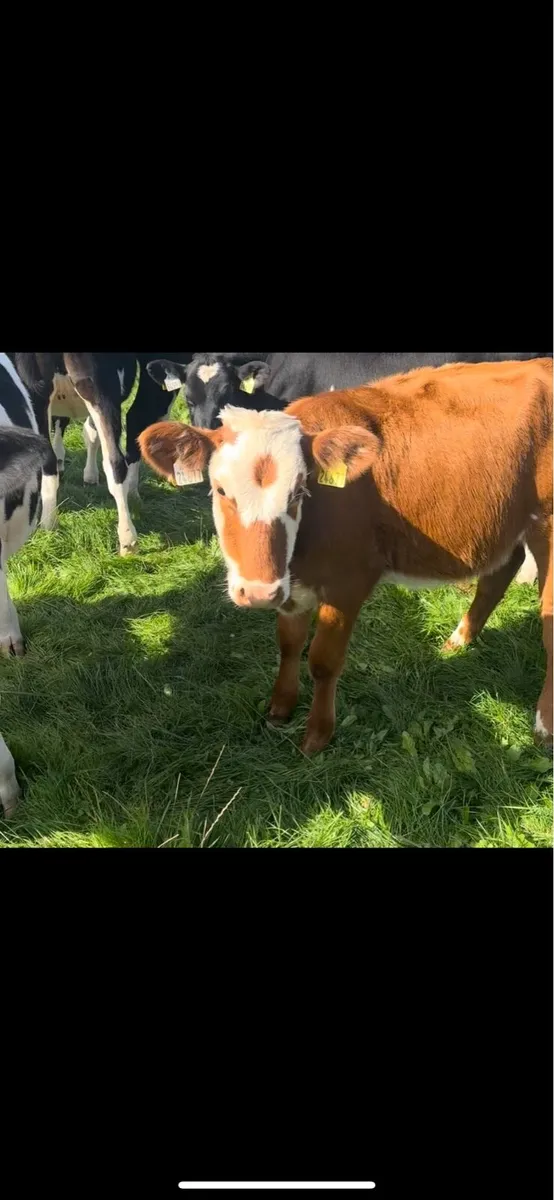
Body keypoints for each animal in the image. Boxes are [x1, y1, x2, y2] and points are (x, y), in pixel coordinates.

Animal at [139, 358, 553, 756]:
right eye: (221, 490)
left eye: (298, 491)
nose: (257, 592)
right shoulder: (290, 587)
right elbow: (288, 644)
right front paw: (280, 707)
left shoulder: (349, 583)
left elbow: (323, 661)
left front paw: (317, 735)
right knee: (499, 574)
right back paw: (458, 640)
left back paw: (543, 725)